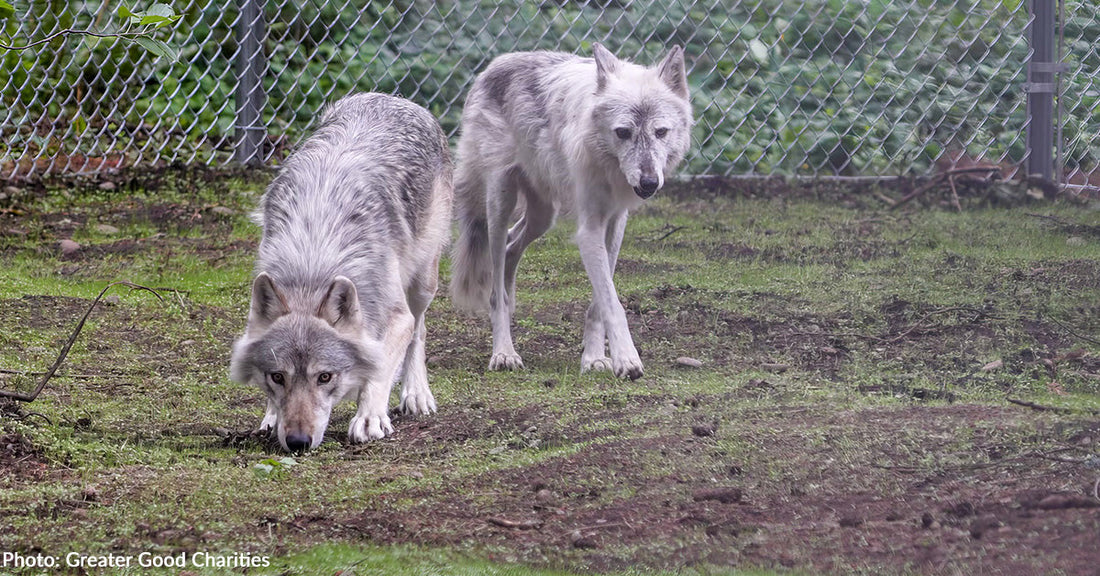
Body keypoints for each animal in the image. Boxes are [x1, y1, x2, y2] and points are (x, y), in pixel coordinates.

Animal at [229, 92, 453, 452]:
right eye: (277, 377)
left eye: (325, 377)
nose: (298, 441)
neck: (314, 255)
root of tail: (392, 98)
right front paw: (272, 417)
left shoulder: (396, 316)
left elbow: (379, 368)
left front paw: (370, 418)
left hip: (422, 283)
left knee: (419, 330)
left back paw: (417, 394)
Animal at [450, 44, 692, 380]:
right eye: (623, 132)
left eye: (661, 132)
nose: (648, 182)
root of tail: (493, 65)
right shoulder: (589, 228)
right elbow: (612, 302)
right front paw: (627, 359)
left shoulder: (615, 222)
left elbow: (600, 303)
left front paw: (594, 358)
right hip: (500, 204)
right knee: (496, 286)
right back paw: (504, 352)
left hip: (542, 216)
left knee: (512, 246)